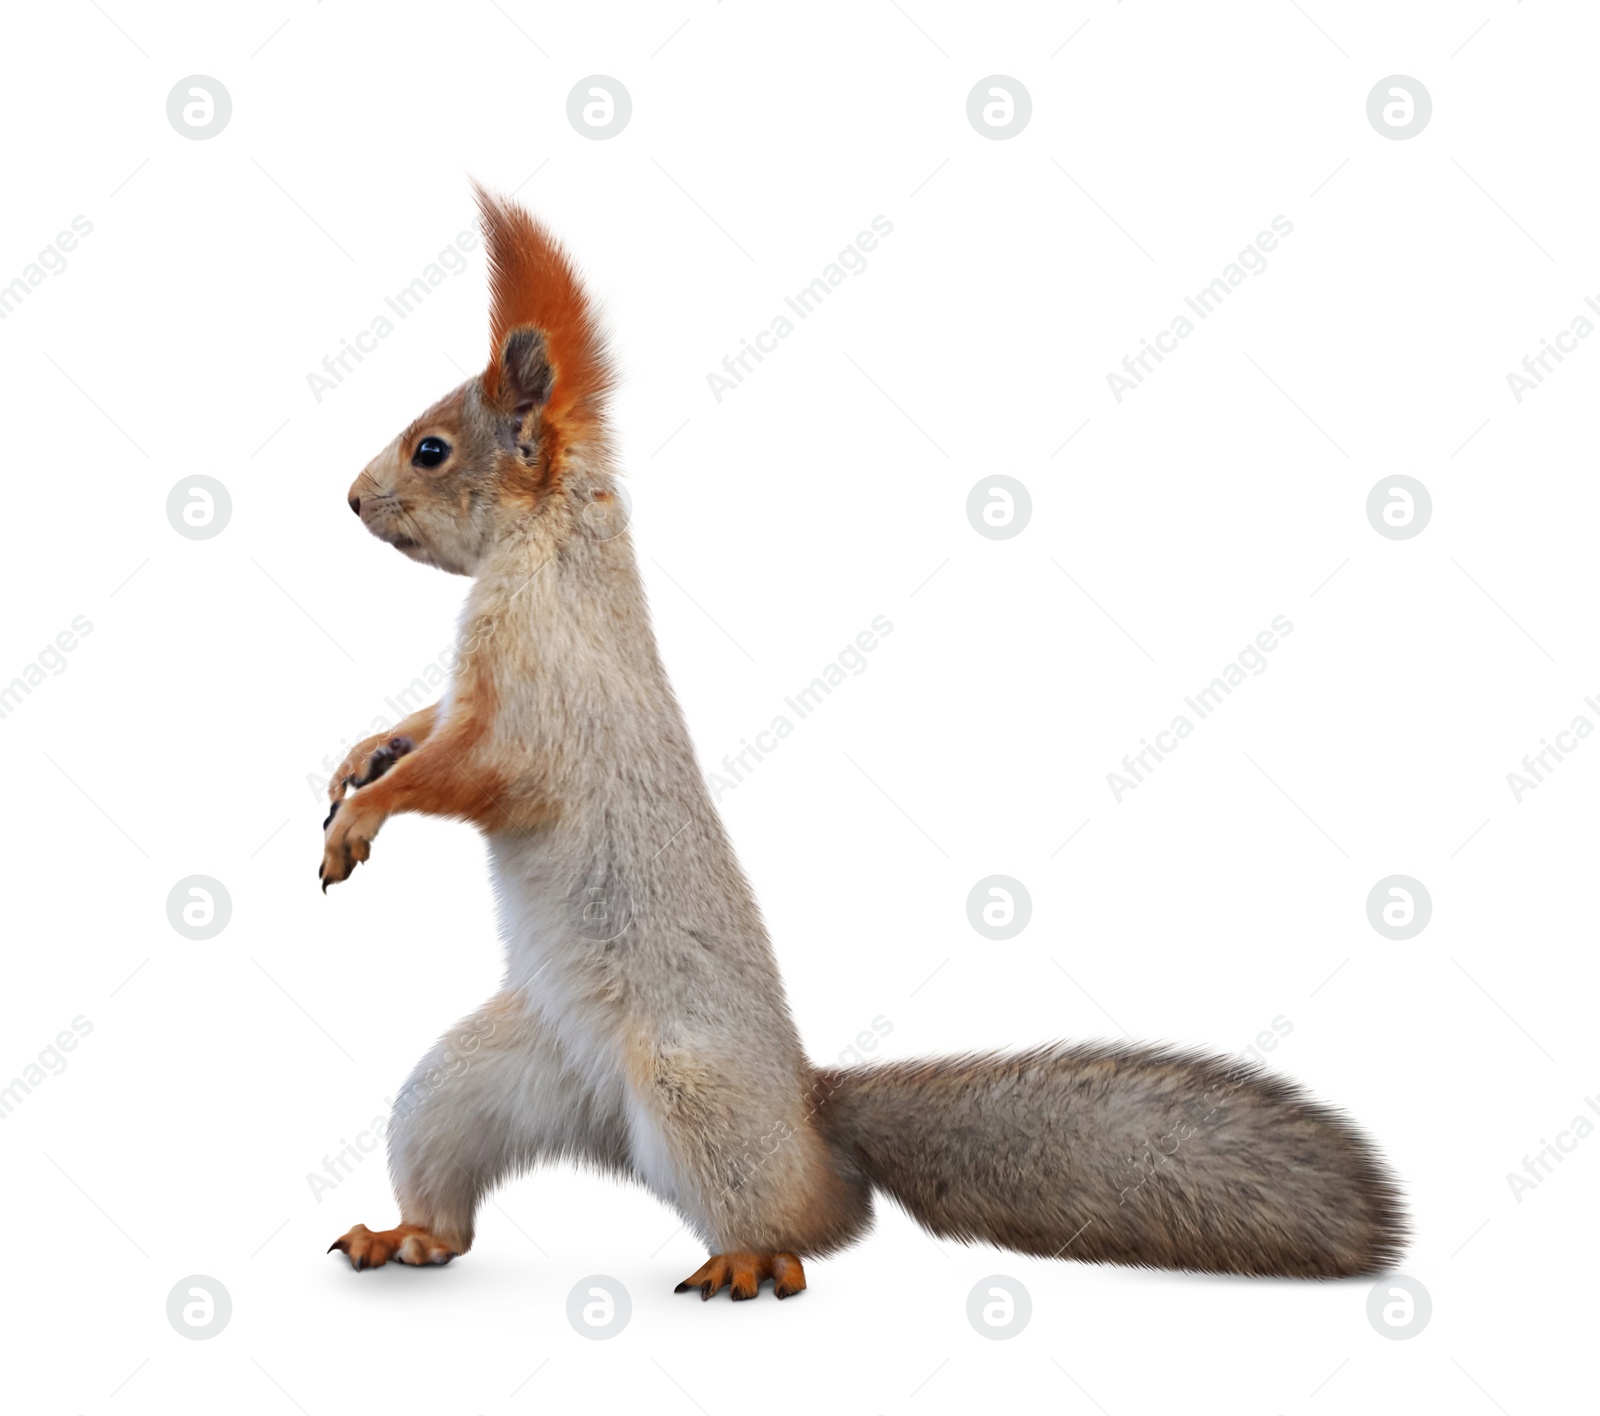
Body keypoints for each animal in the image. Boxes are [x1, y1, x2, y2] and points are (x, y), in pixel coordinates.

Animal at [321, 190, 1401, 1305]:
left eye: (431, 450)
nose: (350, 499)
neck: (548, 544)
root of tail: (807, 1111)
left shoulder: (539, 706)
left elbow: (472, 768)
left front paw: (365, 811)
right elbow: (428, 726)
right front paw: (363, 754)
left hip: (691, 1092)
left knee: (819, 1220)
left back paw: (750, 1260)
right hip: (476, 1084)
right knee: (451, 1180)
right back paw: (403, 1236)